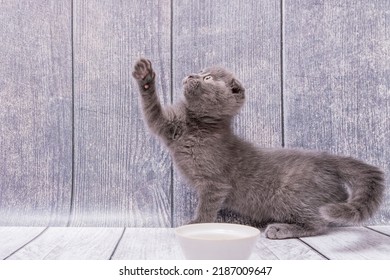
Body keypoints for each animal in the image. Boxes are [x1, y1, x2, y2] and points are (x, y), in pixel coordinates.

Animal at [132, 58, 384, 240]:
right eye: (200, 70)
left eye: (207, 77)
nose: (191, 75)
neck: (198, 125)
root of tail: (326, 158)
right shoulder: (168, 126)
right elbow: (152, 112)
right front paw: (144, 76)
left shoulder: (215, 184)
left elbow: (207, 207)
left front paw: (196, 224)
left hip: (291, 195)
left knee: (319, 223)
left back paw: (281, 229)